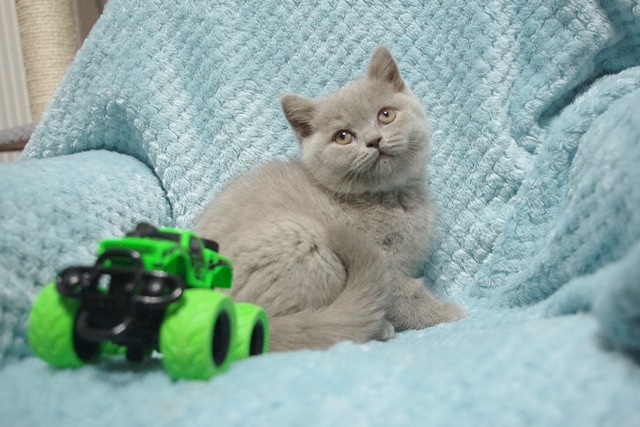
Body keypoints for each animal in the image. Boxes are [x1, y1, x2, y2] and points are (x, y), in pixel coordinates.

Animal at [196, 44, 466, 352]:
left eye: (385, 115)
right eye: (343, 137)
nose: (374, 140)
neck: (388, 196)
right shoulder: (386, 262)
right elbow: (407, 295)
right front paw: (445, 313)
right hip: (303, 243)